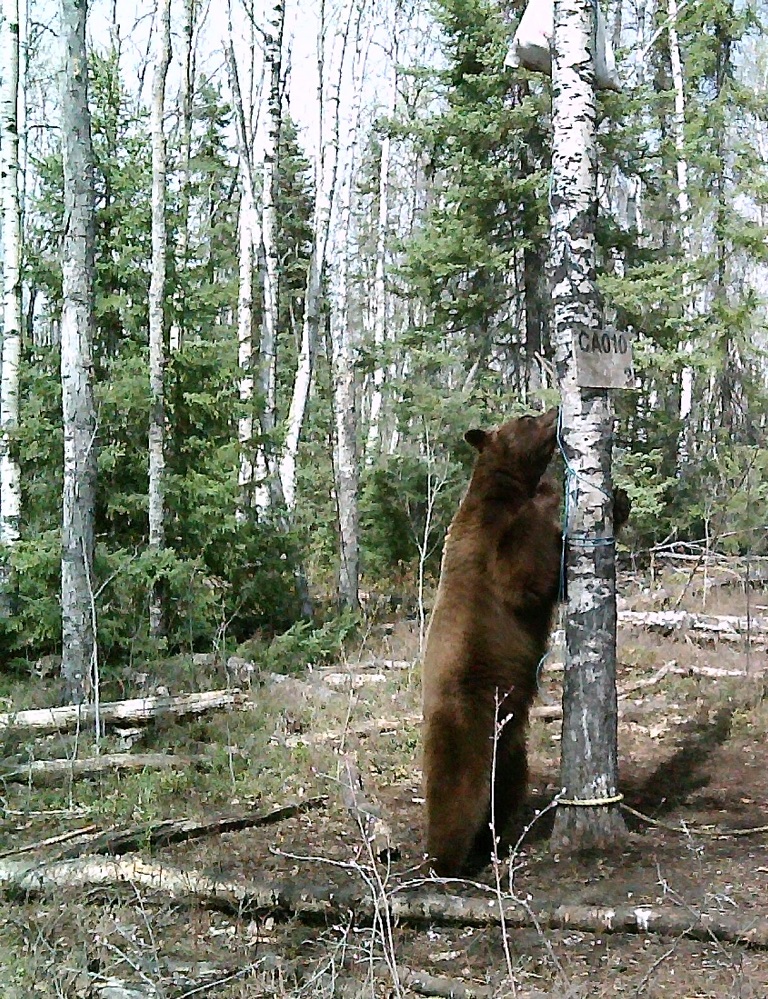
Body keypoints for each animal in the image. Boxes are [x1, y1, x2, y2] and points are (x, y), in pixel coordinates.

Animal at [424, 406, 560, 876]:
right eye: (527, 416)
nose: (555, 410)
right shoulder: (490, 538)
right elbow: (522, 575)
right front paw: (550, 495)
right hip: (467, 717)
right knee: (456, 789)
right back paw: (445, 858)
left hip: (511, 742)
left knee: (505, 787)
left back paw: (492, 842)